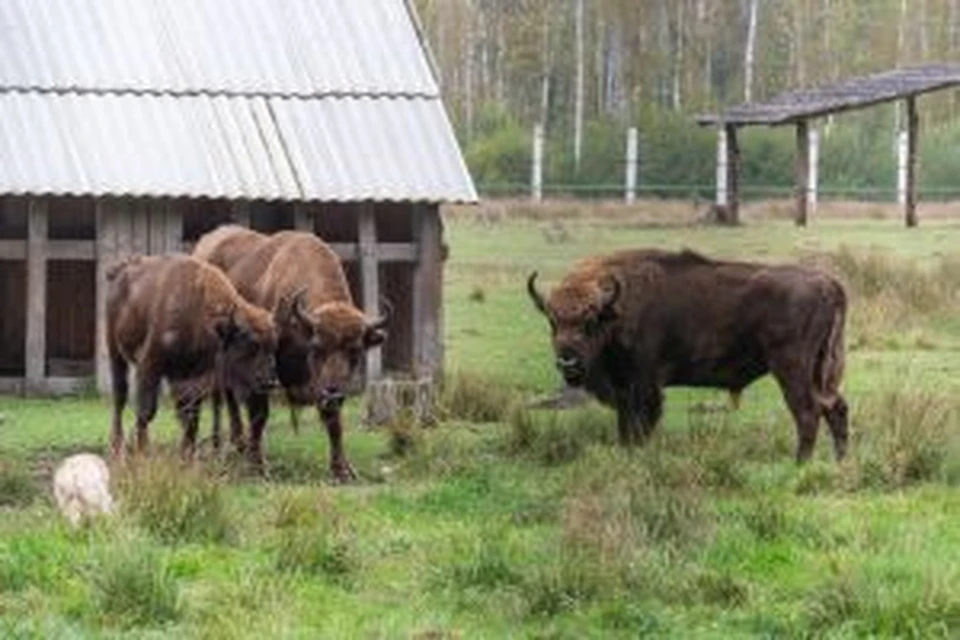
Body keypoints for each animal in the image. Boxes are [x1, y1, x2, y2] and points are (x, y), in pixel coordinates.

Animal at [106, 252, 278, 458]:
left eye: (273, 346)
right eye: (250, 345)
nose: (269, 381)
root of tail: (120, 272)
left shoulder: (191, 376)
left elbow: (191, 417)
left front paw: (186, 455)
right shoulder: (150, 365)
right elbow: (147, 410)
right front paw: (143, 452)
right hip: (115, 351)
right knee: (119, 396)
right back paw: (116, 445)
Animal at [191, 225, 386, 480]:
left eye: (355, 350)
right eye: (317, 347)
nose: (332, 391)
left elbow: (334, 422)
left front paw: (342, 470)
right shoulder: (263, 375)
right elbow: (259, 415)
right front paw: (257, 466)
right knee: (224, 400)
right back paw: (229, 445)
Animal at [528, 248, 852, 462]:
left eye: (590, 321)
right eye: (552, 321)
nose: (567, 360)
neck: (616, 308)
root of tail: (828, 284)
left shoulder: (644, 387)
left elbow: (640, 427)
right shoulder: (624, 392)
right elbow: (625, 428)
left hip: (791, 368)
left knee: (807, 412)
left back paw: (800, 464)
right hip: (821, 370)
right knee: (835, 407)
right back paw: (839, 462)